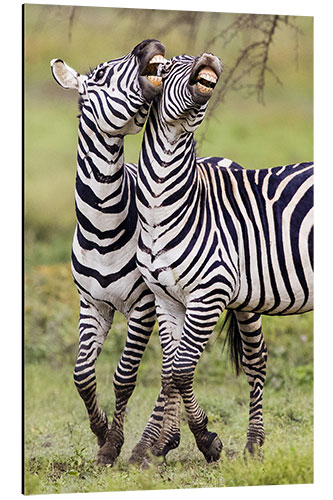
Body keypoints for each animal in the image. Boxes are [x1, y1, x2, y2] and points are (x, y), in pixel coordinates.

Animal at [50, 39, 170, 464]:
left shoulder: (143, 305)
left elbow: (124, 376)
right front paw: (101, 433)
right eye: (101, 75)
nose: (150, 44)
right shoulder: (93, 305)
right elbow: (82, 374)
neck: (102, 230)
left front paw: (114, 443)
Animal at [134, 52, 312, 462]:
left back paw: (252, 443)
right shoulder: (167, 299)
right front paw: (155, 445)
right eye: (169, 67)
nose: (210, 57)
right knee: (253, 357)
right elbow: (169, 371)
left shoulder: (208, 294)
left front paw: (206, 439)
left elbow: (182, 370)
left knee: (254, 359)